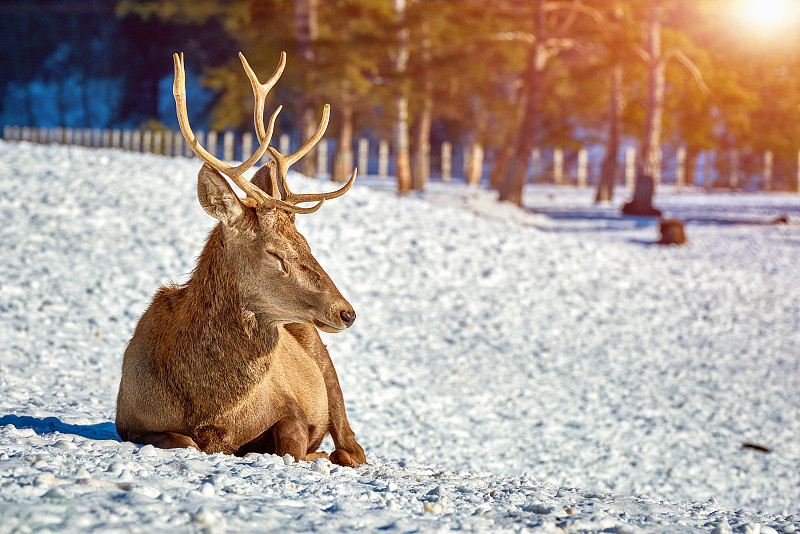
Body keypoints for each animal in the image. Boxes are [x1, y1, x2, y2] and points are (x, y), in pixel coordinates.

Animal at [115, 51, 366, 468]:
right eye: (275, 253)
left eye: (305, 243)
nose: (346, 312)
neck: (208, 407)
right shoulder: (128, 420)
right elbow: (184, 440)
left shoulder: (289, 406)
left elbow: (294, 446)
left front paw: (312, 454)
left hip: (322, 356)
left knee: (352, 445)